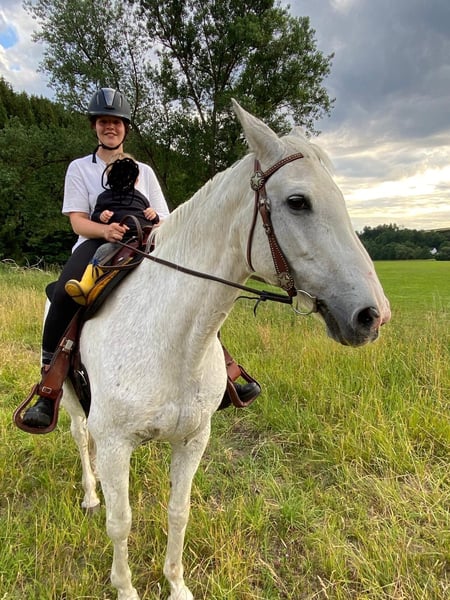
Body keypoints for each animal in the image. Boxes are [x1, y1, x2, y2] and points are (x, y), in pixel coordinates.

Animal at [57, 100, 390, 600]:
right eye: (297, 201)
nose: (373, 315)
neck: (174, 341)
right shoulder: (115, 444)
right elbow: (121, 522)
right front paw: (125, 587)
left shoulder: (194, 438)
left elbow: (179, 513)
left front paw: (176, 584)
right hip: (72, 399)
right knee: (81, 439)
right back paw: (90, 494)